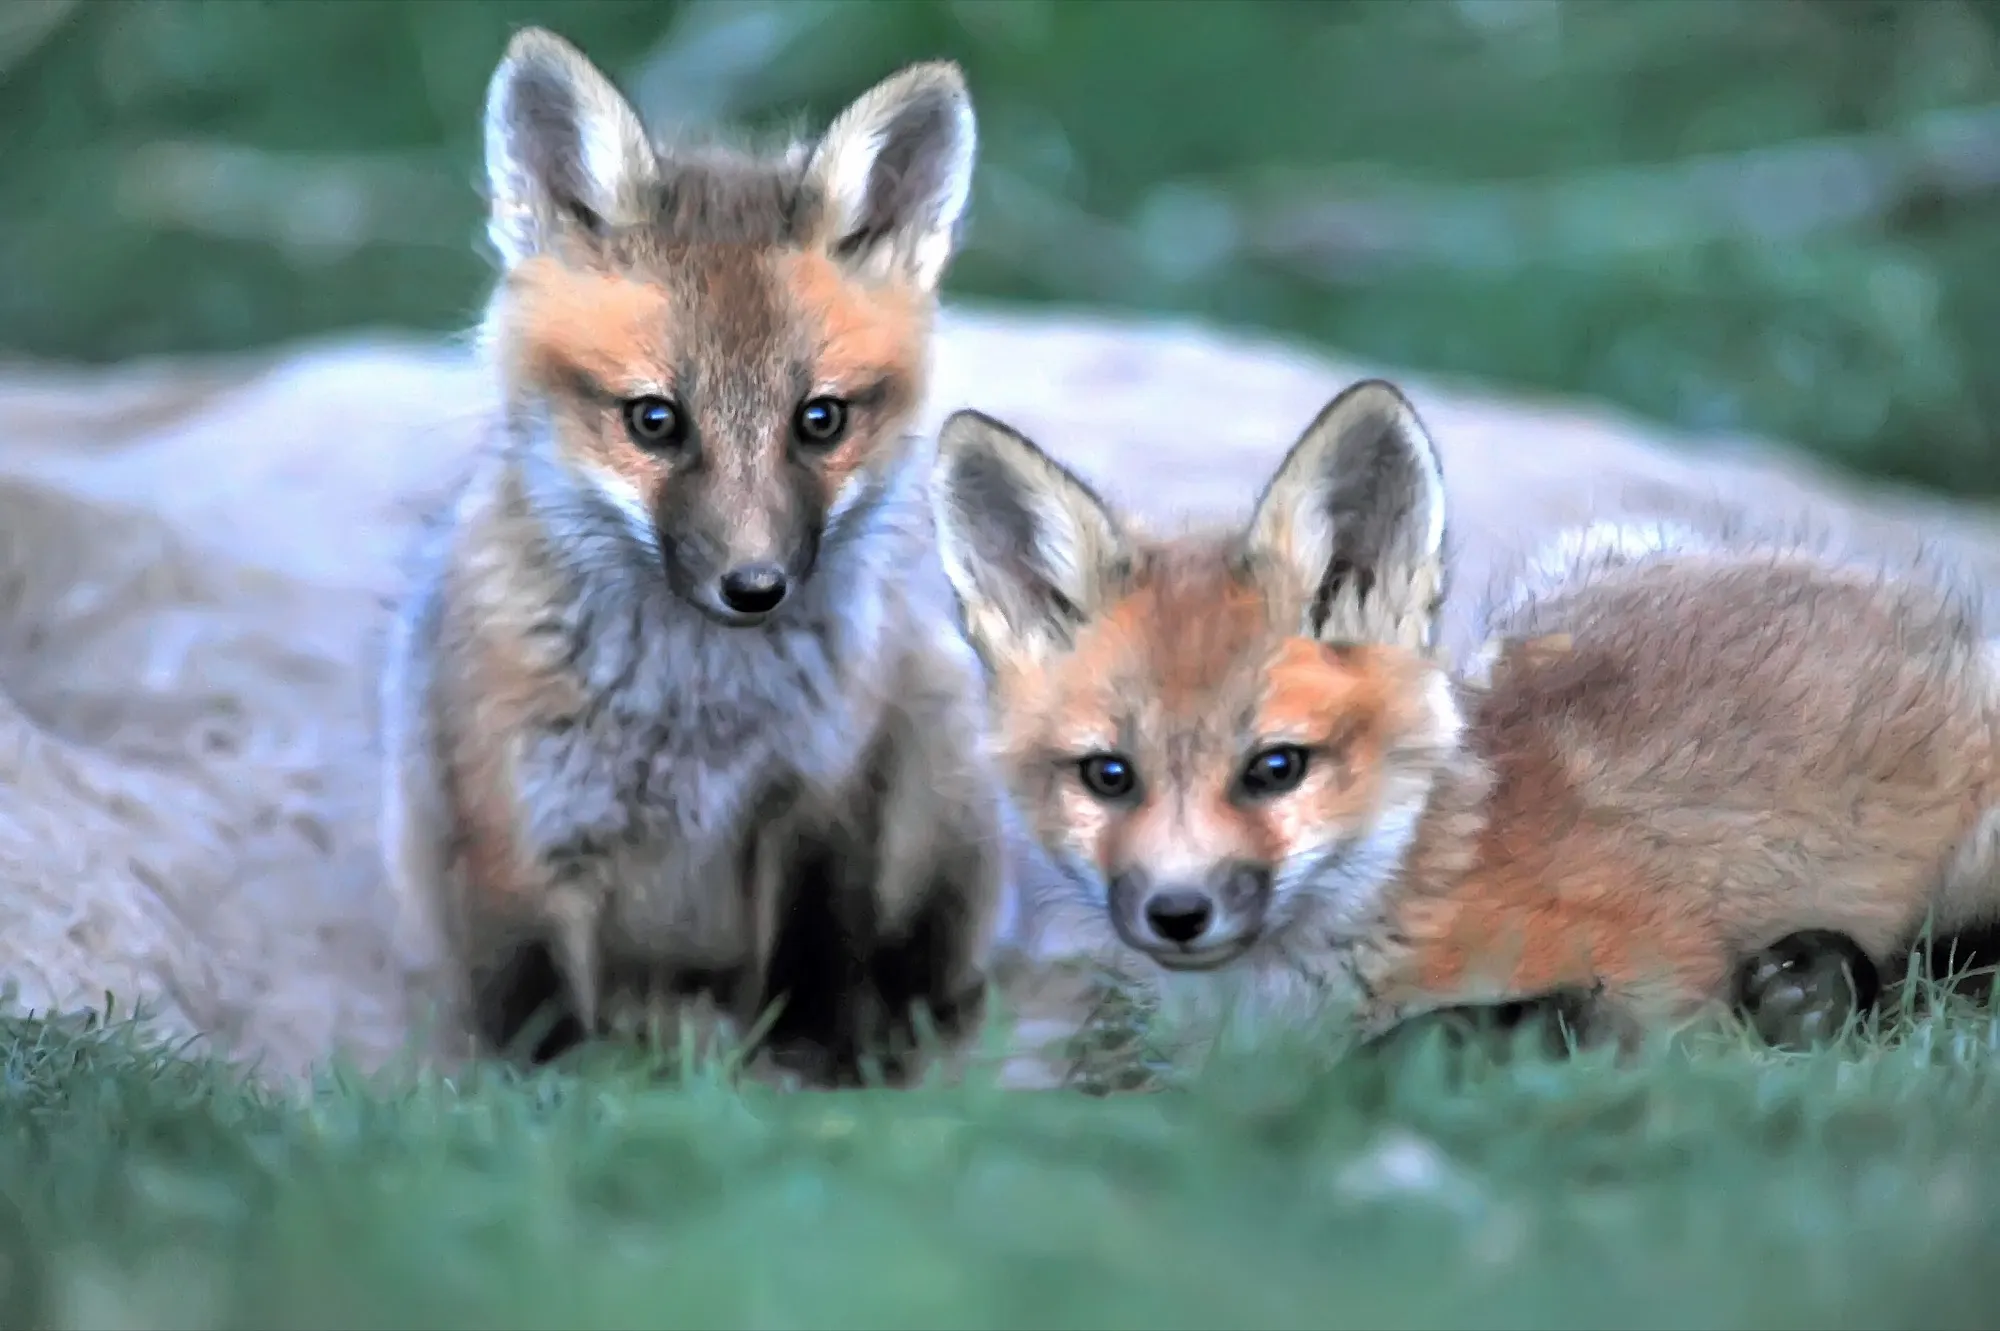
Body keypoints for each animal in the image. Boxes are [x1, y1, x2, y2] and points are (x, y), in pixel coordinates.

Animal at [378, 27, 1007, 1085]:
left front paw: (806, 1087)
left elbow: (811, 986)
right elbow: (539, 1042)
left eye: (820, 420)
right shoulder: (516, 834)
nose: (754, 588)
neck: (693, 718)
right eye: (655, 420)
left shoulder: (819, 806)